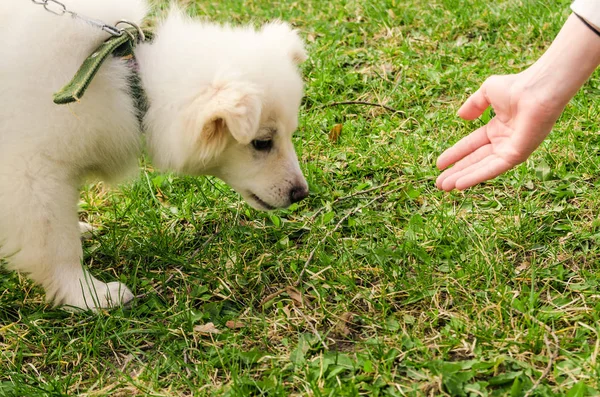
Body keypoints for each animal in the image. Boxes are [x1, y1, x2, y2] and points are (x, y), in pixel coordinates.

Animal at [0, 0, 310, 310]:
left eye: (290, 134)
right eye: (262, 143)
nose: (301, 193)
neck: (131, 82)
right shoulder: (33, 172)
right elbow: (58, 244)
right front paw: (87, 294)